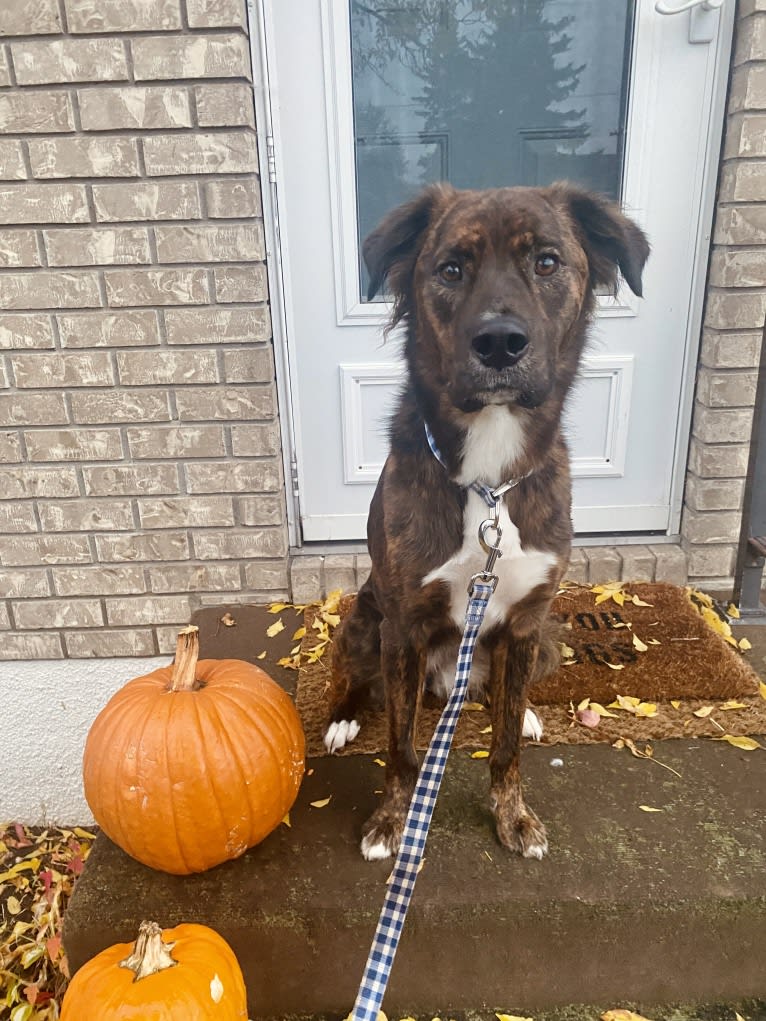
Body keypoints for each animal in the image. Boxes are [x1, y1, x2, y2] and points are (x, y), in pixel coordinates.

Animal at [322, 183, 649, 861]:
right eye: (451, 269)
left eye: (547, 262)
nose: (500, 343)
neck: (490, 481)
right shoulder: (402, 626)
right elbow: (401, 748)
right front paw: (392, 822)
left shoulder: (526, 622)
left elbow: (505, 747)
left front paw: (512, 815)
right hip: (364, 619)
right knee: (359, 679)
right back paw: (343, 716)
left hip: (547, 641)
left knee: (503, 696)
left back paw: (521, 709)